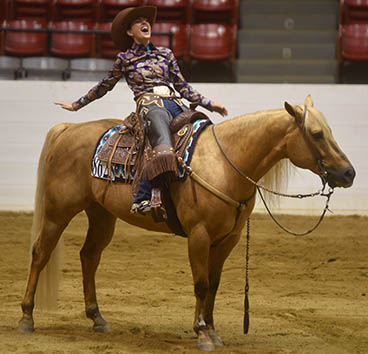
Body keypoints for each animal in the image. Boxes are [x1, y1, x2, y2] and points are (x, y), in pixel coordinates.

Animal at [18, 96, 356, 352]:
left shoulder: (228, 239)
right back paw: (27, 318)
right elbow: (200, 284)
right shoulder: (199, 235)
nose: (349, 173)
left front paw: (213, 330)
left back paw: (97, 318)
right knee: (40, 253)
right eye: (316, 134)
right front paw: (202, 333)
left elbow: (214, 285)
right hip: (58, 212)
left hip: (101, 214)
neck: (225, 163)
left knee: (89, 256)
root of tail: (69, 129)